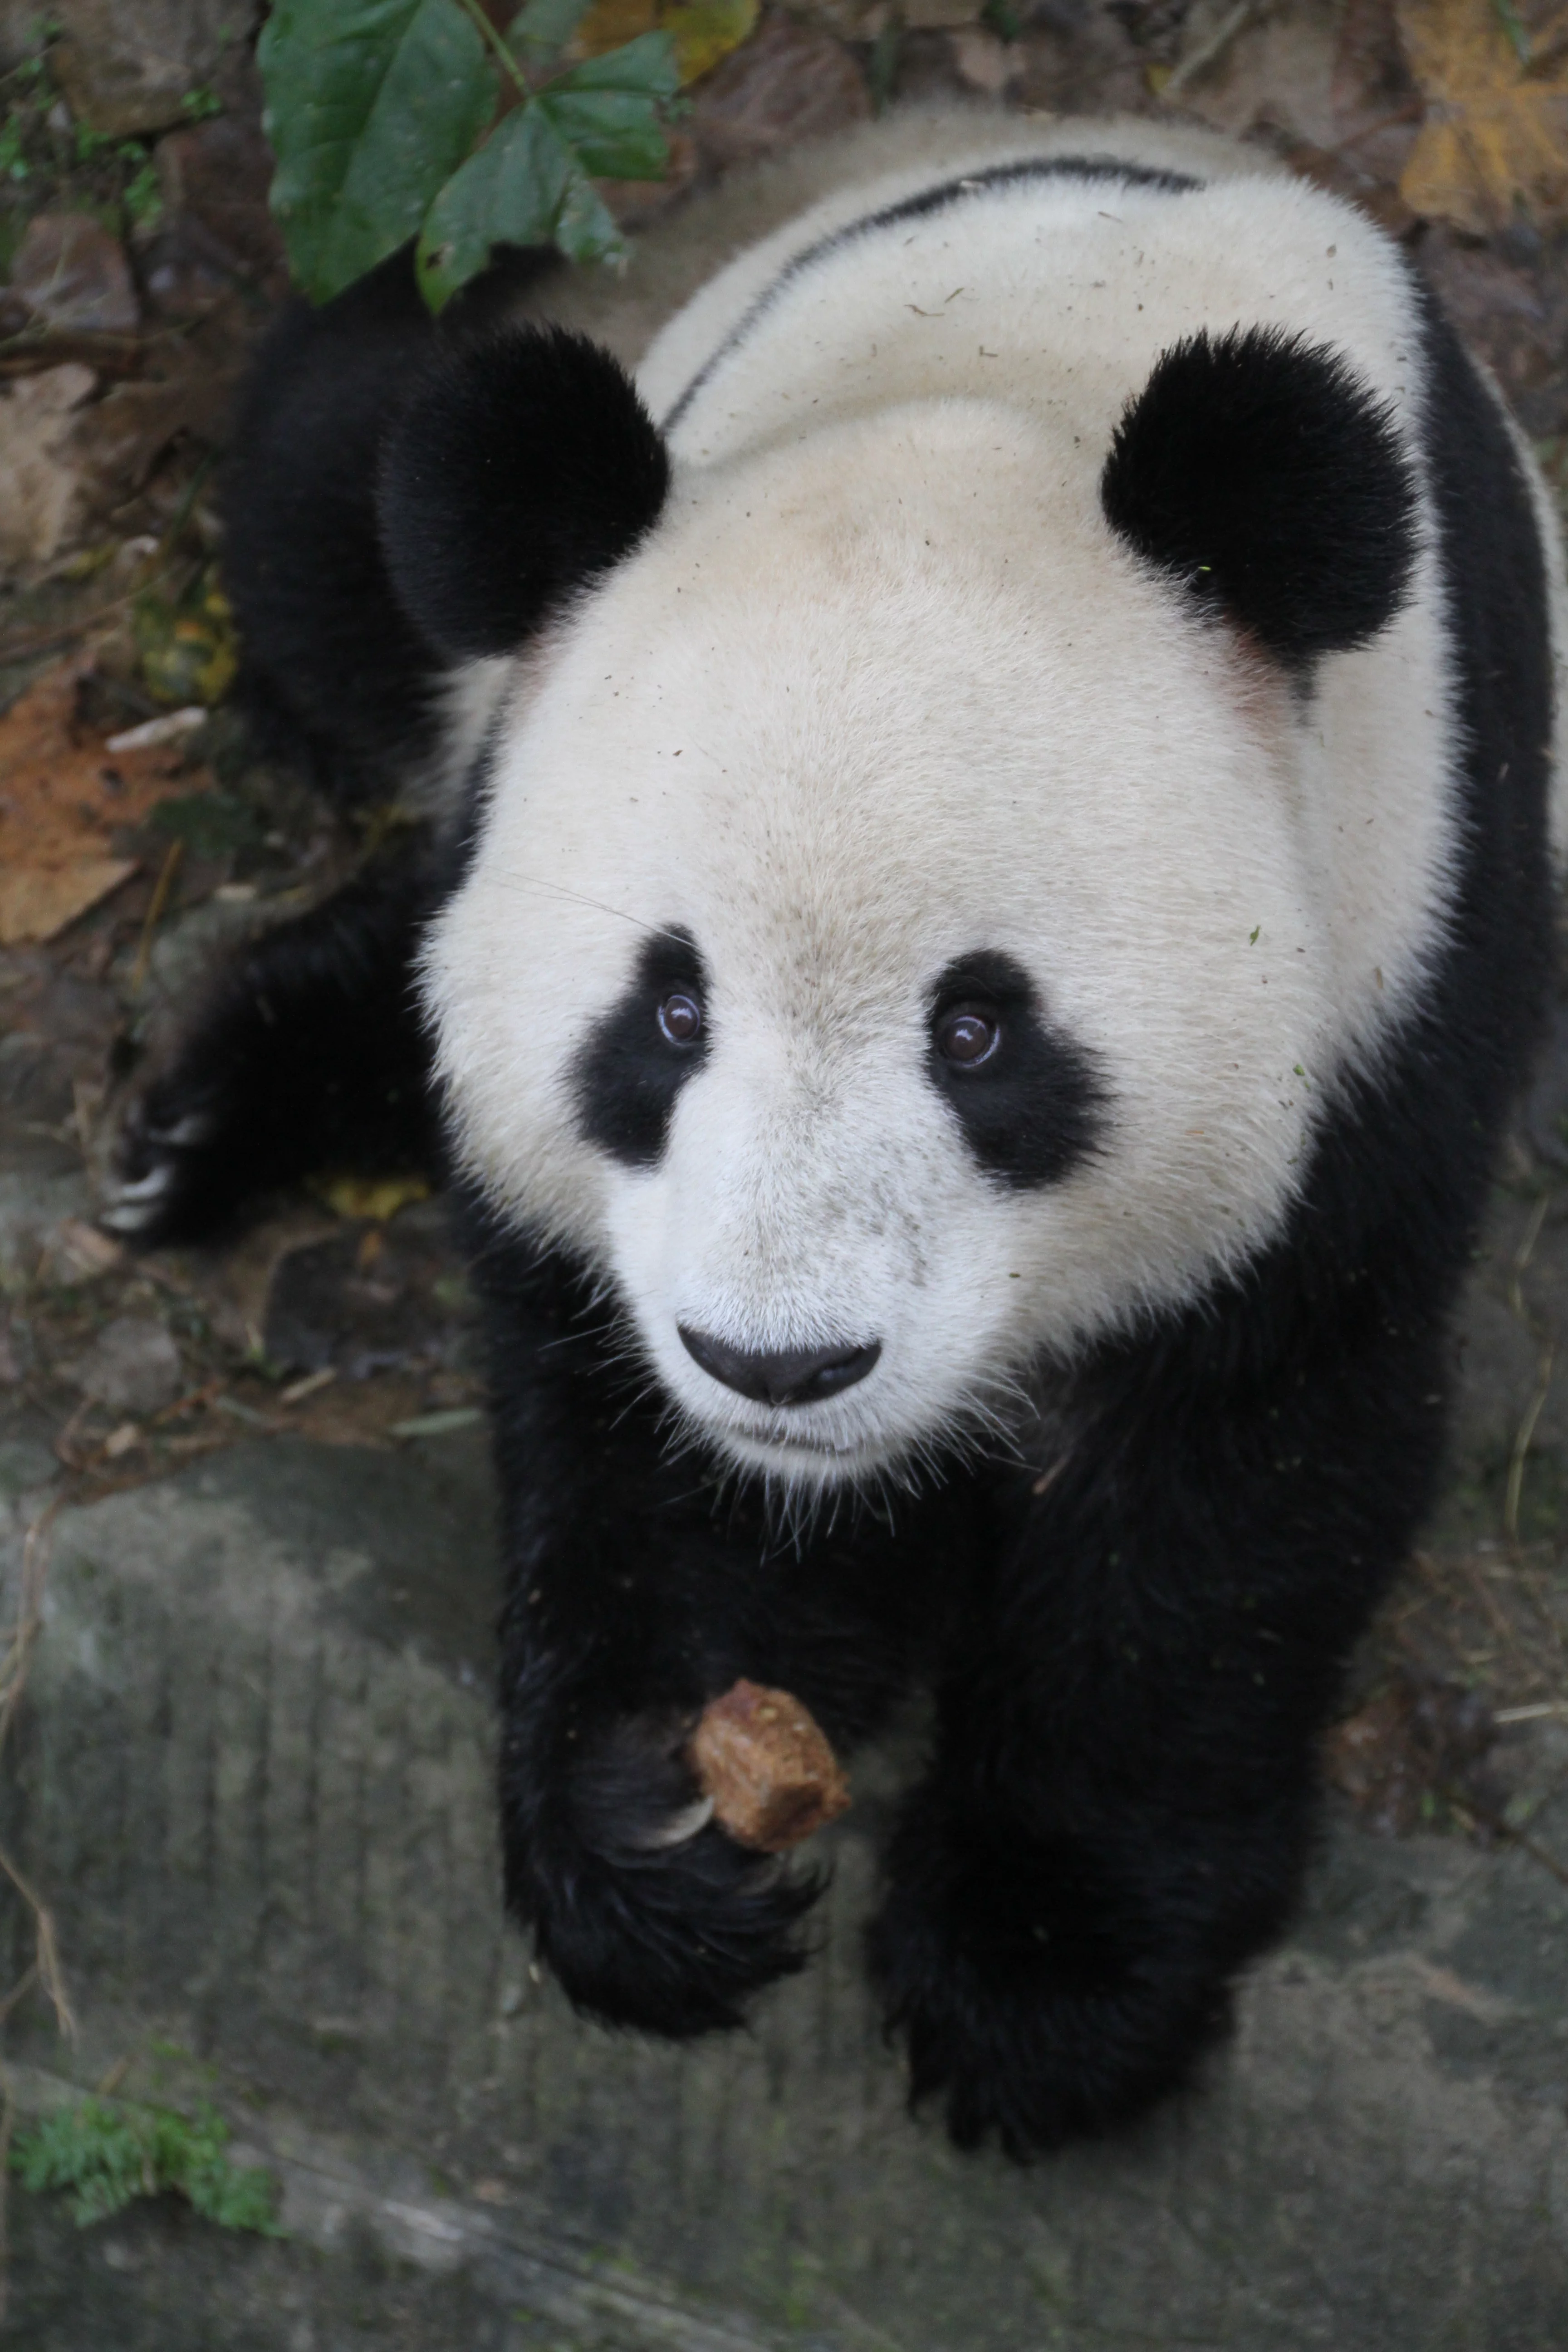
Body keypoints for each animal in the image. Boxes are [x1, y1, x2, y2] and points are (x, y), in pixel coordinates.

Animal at [106, 111, 1567, 2157]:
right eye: (668, 1012)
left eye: (978, 1030)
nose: (784, 1367)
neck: (1003, 379)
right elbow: (624, 1434)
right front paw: (650, 1838)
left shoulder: (1396, 950)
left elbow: (1232, 1479)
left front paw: (1038, 1975)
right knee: (346, 502)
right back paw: (204, 1115)